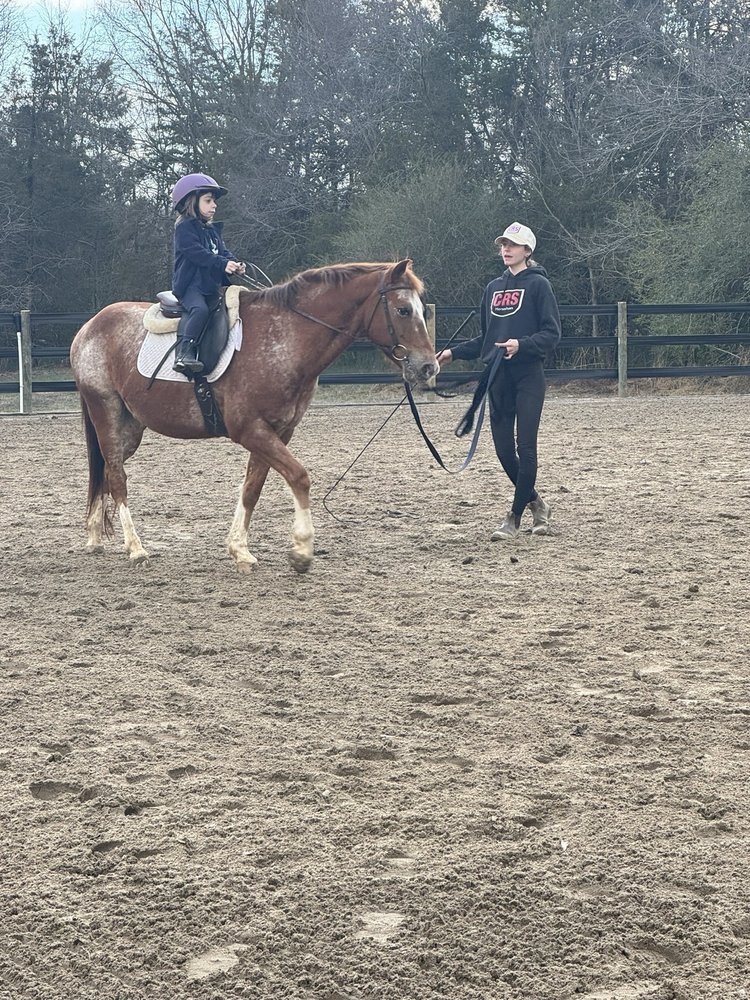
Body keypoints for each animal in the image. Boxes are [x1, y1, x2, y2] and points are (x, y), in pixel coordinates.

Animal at [70, 259, 439, 574]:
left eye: (422, 310)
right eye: (403, 310)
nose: (428, 367)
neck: (285, 338)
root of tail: (89, 327)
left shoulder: (277, 431)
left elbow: (252, 488)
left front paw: (240, 550)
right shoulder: (251, 431)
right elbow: (299, 477)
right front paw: (301, 551)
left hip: (131, 427)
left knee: (106, 471)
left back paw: (93, 536)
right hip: (106, 412)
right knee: (116, 475)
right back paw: (135, 549)